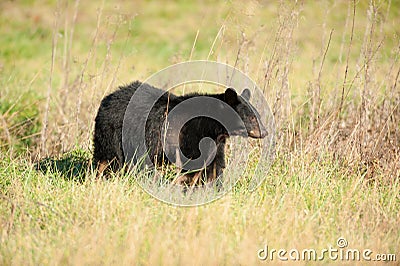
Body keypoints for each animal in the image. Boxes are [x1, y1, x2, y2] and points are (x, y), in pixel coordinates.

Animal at [94, 81, 268, 187]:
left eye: (258, 115)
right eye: (251, 117)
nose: (265, 132)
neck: (212, 124)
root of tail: (108, 98)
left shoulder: (215, 140)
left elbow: (215, 164)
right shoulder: (191, 134)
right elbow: (195, 164)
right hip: (113, 134)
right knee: (110, 159)